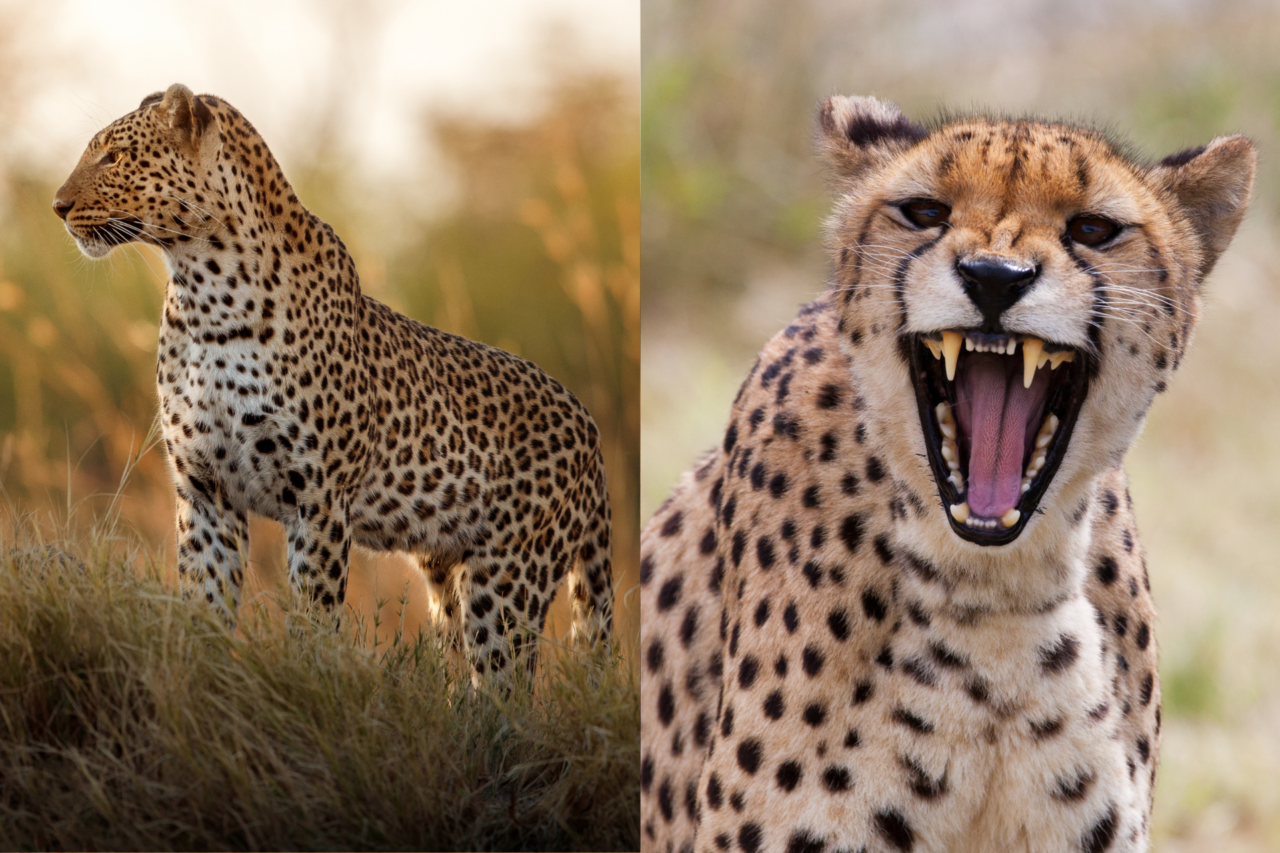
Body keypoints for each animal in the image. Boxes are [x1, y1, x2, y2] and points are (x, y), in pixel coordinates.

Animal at [53, 83, 613, 684]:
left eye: (113, 157)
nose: (58, 206)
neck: (204, 291)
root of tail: (590, 427)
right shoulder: (205, 491)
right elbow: (203, 607)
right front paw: (200, 681)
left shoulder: (317, 498)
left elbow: (313, 616)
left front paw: (304, 679)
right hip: (447, 574)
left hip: (509, 578)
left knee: (505, 684)